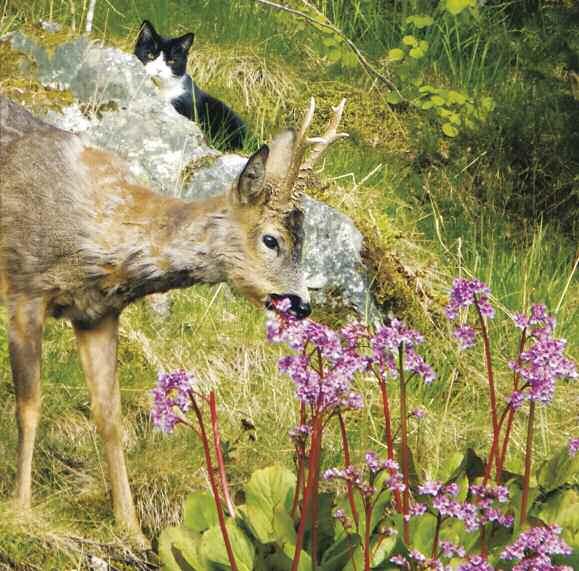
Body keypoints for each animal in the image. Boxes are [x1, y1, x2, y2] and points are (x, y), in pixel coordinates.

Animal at [0, 95, 346, 540]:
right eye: (272, 240)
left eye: (304, 242)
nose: (302, 304)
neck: (97, 235)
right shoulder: (25, 287)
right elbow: (29, 405)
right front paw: (22, 510)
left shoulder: (98, 314)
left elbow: (109, 416)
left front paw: (130, 527)